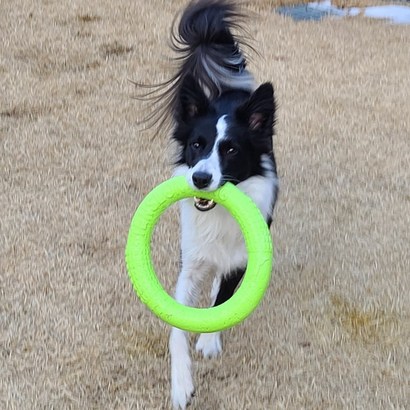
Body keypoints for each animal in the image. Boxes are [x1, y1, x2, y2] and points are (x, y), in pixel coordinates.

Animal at [139, 1, 278, 408]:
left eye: (230, 150)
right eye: (196, 145)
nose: (200, 179)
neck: (217, 215)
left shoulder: (241, 259)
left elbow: (221, 303)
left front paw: (209, 342)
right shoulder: (190, 261)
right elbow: (176, 326)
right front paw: (181, 383)